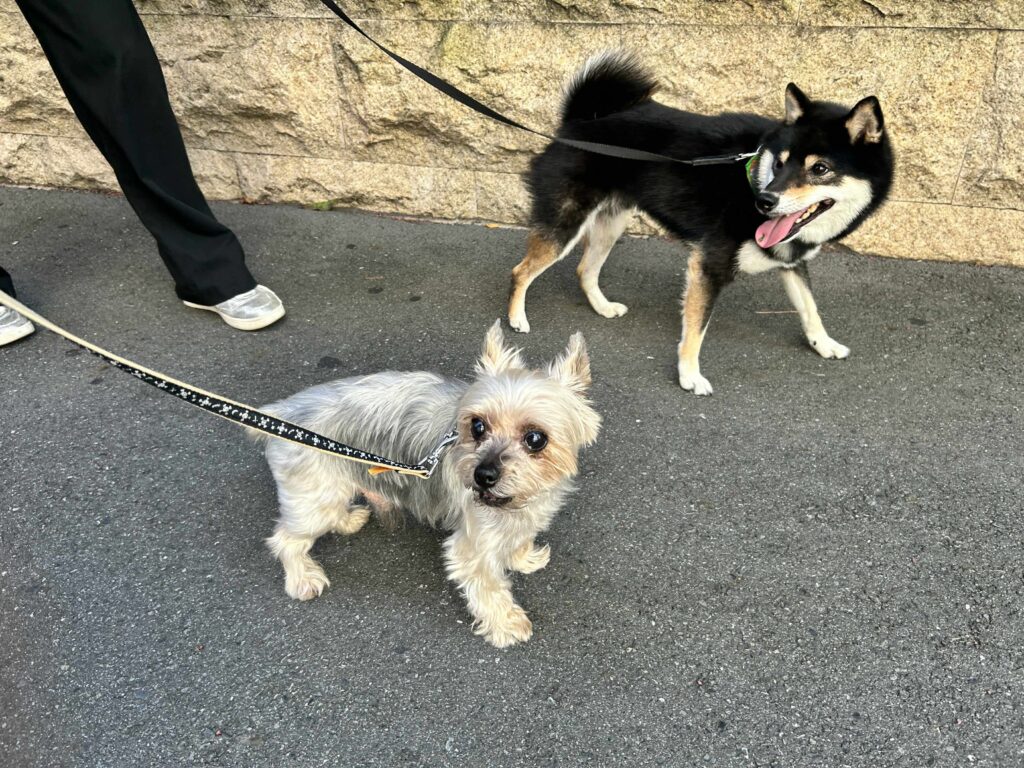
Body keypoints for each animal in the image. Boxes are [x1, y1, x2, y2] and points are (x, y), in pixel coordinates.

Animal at [252, 322, 600, 648]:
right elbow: (488, 585)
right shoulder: (473, 545)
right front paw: (507, 624)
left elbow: (519, 537)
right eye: (477, 426)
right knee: (285, 539)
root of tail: (282, 412)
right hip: (315, 496)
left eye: (536, 438)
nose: (483, 476)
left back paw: (348, 520)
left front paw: (521, 558)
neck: (516, 501)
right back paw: (302, 578)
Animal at [508, 51, 894, 395]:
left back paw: (602, 307)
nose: (765, 201)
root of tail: (578, 122)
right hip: (566, 223)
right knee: (521, 271)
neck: (754, 171)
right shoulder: (710, 264)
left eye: (820, 168)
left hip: (612, 222)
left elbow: (810, 308)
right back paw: (516, 318)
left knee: (584, 269)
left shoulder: (790, 260)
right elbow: (696, 330)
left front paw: (824, 344)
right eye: (781, 163)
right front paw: (689, 376)